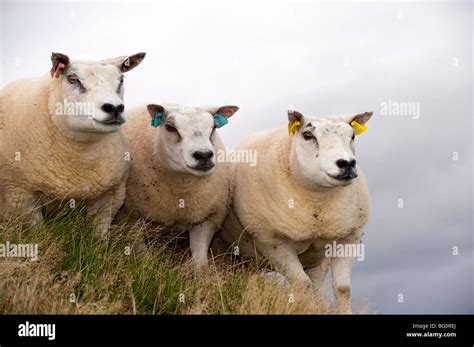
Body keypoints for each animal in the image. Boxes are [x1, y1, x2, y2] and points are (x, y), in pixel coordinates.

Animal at [0, 51, 146, 237]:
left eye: (121, 80)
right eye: (72, 79)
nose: (115, 108)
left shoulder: (111, 196)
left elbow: (98, 237)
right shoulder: (19, 194)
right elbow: (38, 233)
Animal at [122, 103, 239, 272]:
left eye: (214, 126)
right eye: (170, 127)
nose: (203, 155)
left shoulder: (207, 219)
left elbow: (200, 262)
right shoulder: (131, 215)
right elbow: (142, 254)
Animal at [216, 109, 374, 316]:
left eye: (352, 136)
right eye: (308, 135)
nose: (346, 163)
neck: (317, 203)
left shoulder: (349, 238)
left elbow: (342, 288)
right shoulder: (274, 243)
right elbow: (302, 285)